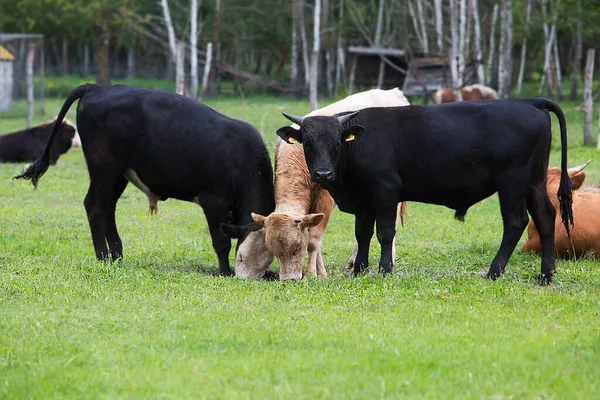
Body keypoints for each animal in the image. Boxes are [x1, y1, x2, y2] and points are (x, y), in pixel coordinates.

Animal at [15, 84, 276, 276]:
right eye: (243, 255)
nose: (254, 276)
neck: (240, 158)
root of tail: (97, 87)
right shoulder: (214, 201)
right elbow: (221, 241)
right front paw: (224, 272)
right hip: (104, 169)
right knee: (95, 206)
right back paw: (103, 257)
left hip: (119, 174)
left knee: (108, 208)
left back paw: (117, 256)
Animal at [278, 98, 576, 282]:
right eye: (307, 144)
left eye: (337, 143)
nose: (323, 173)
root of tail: (528, 101)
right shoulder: (363, 200)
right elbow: (362, 234)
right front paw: (359, 269)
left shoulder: (385, 191)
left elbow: (385, 232)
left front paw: (384, 269)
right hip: (534, 183)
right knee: (545, 217)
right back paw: (545, 274)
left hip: (512, 183)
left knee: (516, 222)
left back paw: (494, 271)